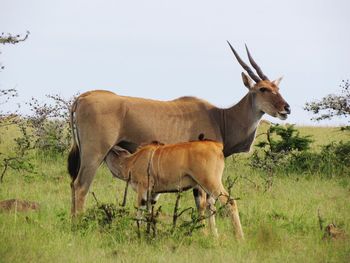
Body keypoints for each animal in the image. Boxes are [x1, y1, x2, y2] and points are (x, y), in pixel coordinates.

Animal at [67, 41, 290, 219]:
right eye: (263, 89)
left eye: (277, 88)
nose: (286, 108)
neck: (221, 117)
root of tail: (83, 98)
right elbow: (204, 203)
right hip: (95, 154)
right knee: (81, 186)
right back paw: (79, 224)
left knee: (73, 184)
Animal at [105, 140, 245, 239]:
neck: (130, 162)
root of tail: (217, 146)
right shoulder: (153, 194)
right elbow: (149, 213)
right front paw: (148, 233)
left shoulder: (143, 189)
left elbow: (140, 211)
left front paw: (135, 232)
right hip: (207, 187)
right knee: (211, 207)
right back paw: (214, 236)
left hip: (211, 182)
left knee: (230, 202)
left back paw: (239, 237)